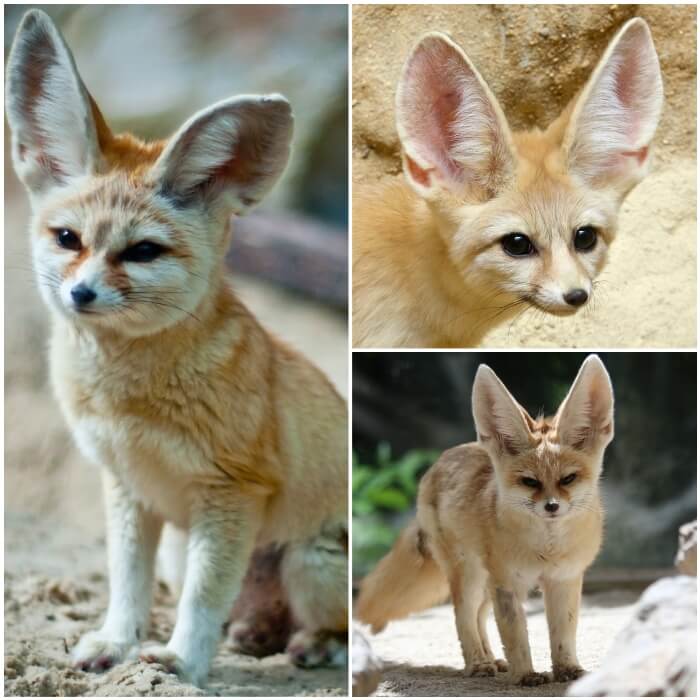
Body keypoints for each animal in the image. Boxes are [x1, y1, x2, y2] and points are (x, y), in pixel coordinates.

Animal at [4, 9, 344, 688]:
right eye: (68, 239)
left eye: (142, 252)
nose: (80, 293)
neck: (128, 398)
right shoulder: (128, 488)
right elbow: (126, 584)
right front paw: (117, 642)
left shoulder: (231, 494)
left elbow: (202, 599)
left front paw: (182, 661)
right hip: (190, 552)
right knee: (253, 619)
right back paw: (255, 635)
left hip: (309, 561)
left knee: (338, 622)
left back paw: (315, 646)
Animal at [358, 358, 616, 688]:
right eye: (529, 481)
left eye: (568, 479)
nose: (552, 506)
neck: (547, 549)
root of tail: (440, 461)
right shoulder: (507, 583)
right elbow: (516, 636)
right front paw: (526, 674)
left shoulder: (563, 579)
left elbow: (563, 634)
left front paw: (567, 670)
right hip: (470, 576)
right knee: (463, 616)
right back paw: (478, 663)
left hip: (484, 581)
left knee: (480, 616)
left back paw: (492, 659)